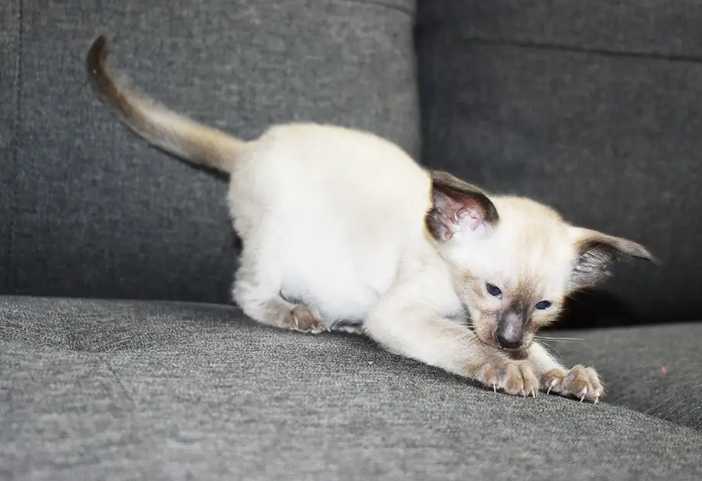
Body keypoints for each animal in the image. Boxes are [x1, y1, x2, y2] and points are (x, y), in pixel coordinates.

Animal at [85, 34, 656, 402]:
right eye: (491, 290)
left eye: (543, 306)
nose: (510, 339)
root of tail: (250, 146)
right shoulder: (405, 313)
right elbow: (465, 343)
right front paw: (506, 369)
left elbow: (539, 356)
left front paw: (565, 377)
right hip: (274, 240)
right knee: (248, 292)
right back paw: (300, 315)